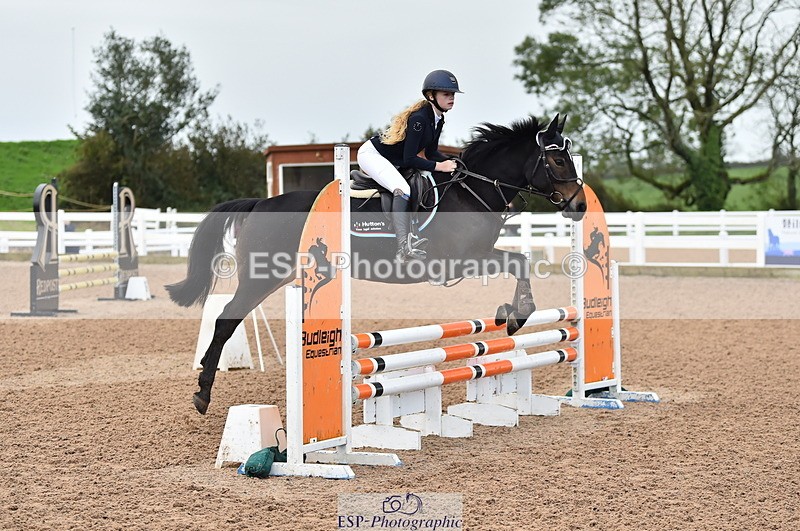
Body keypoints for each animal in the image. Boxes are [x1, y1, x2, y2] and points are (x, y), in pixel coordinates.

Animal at [166, 114, 586, 414]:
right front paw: (517, 315)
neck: (472, 193)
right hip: (262, 278)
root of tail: (260, 203)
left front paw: (509, 315)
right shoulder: (459, 262)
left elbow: (520, 261)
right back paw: (203, 394)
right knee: (226, 320)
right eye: (556, 158)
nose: (580, 206)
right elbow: (519, 264)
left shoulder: (477, 256)